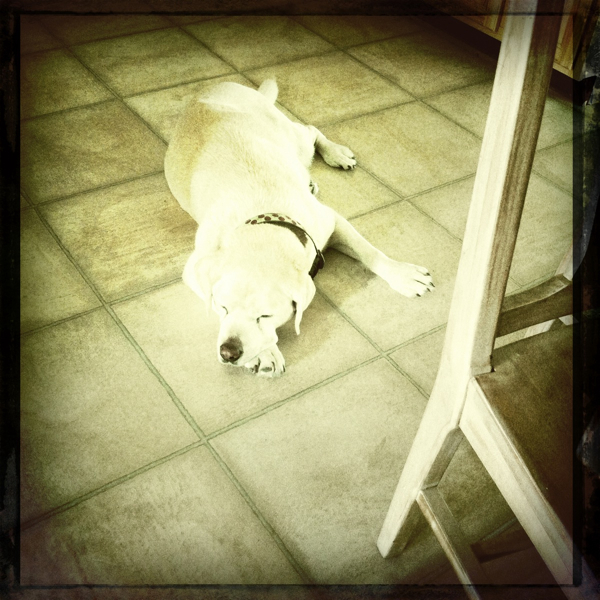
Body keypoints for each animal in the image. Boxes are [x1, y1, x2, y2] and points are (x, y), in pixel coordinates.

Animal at [164, 80, 434, 377]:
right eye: (221, 306)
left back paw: (336, 153)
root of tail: (213, 88)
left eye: (264, 316)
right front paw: (265, 352)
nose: (229, 352)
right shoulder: (196, 268)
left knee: (310, 130)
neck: (264, 221)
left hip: (292, 138)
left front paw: (404, 275)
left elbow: (370, 252)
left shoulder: (330, 220)